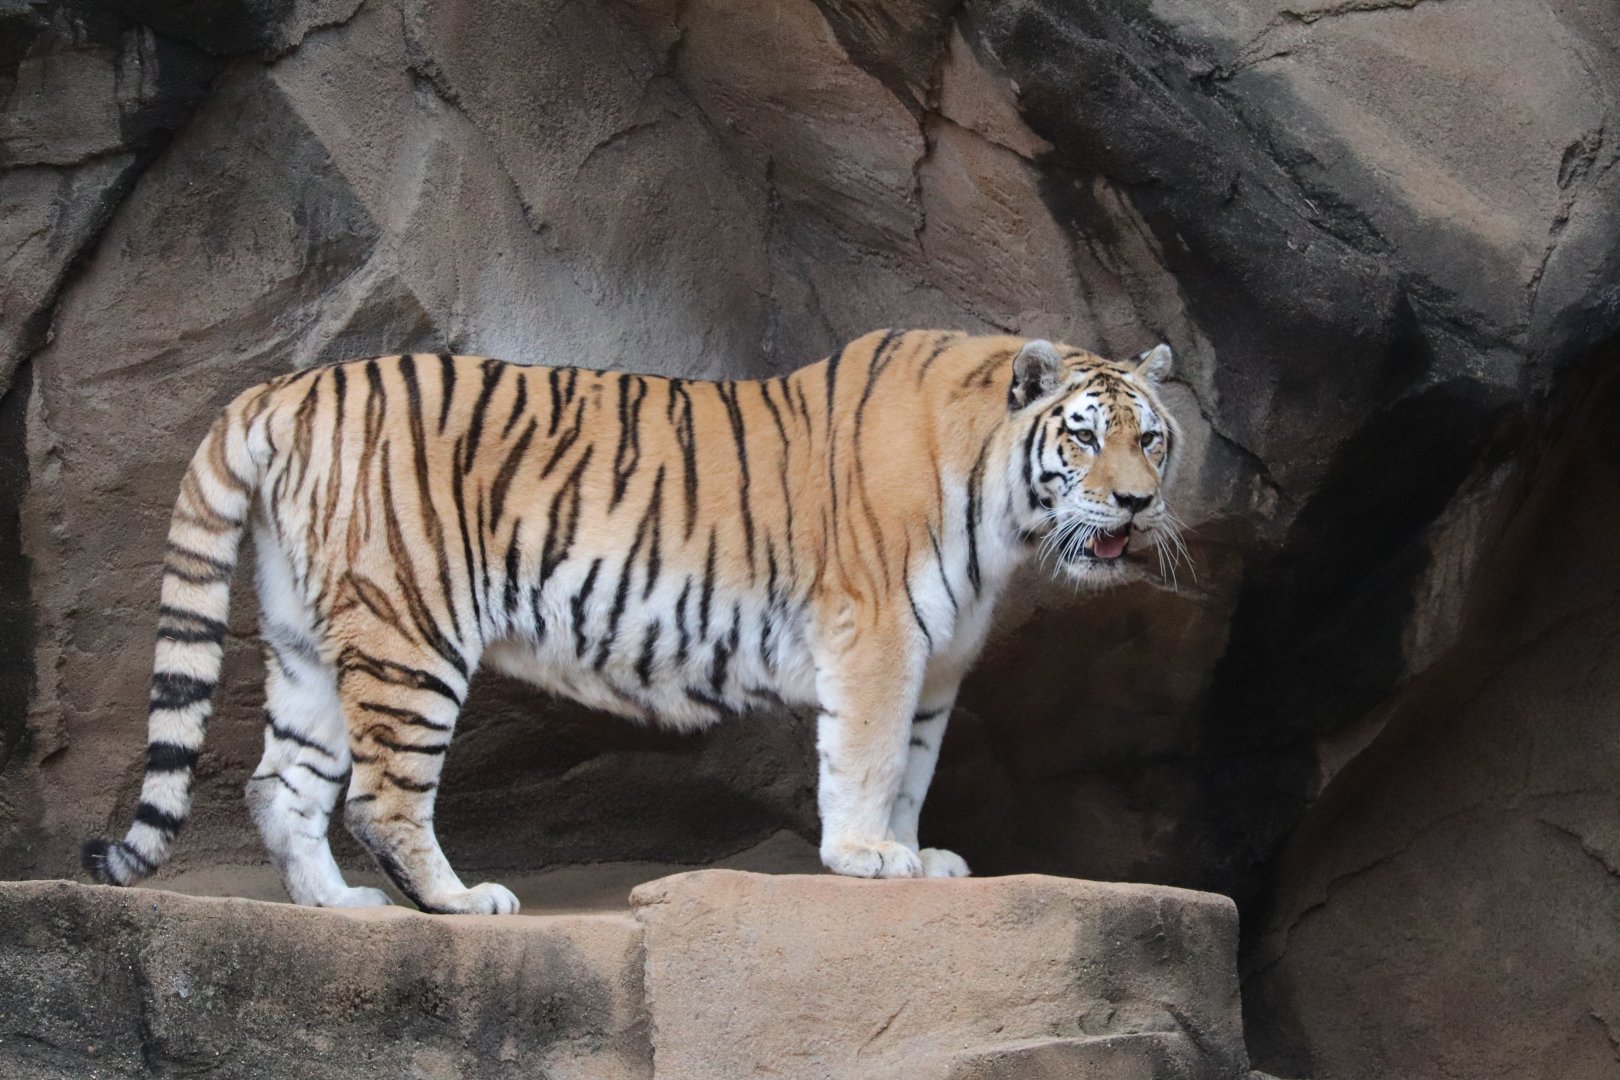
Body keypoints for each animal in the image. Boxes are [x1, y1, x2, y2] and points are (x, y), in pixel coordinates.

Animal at [82, 329, 1182, 914]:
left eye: (1153, 439)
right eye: (1084, 438)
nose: (1136, 505)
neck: (1004, 514)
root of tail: (291, 385)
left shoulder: (937, 664)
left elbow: (909, 768)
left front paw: (915, 854)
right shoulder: (878, 638)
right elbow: (865, 760)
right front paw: (866, 857)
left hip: (309, 636)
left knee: (279, 784)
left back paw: (339, 909)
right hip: (410, 632)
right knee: (381, 799)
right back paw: (460, 903)